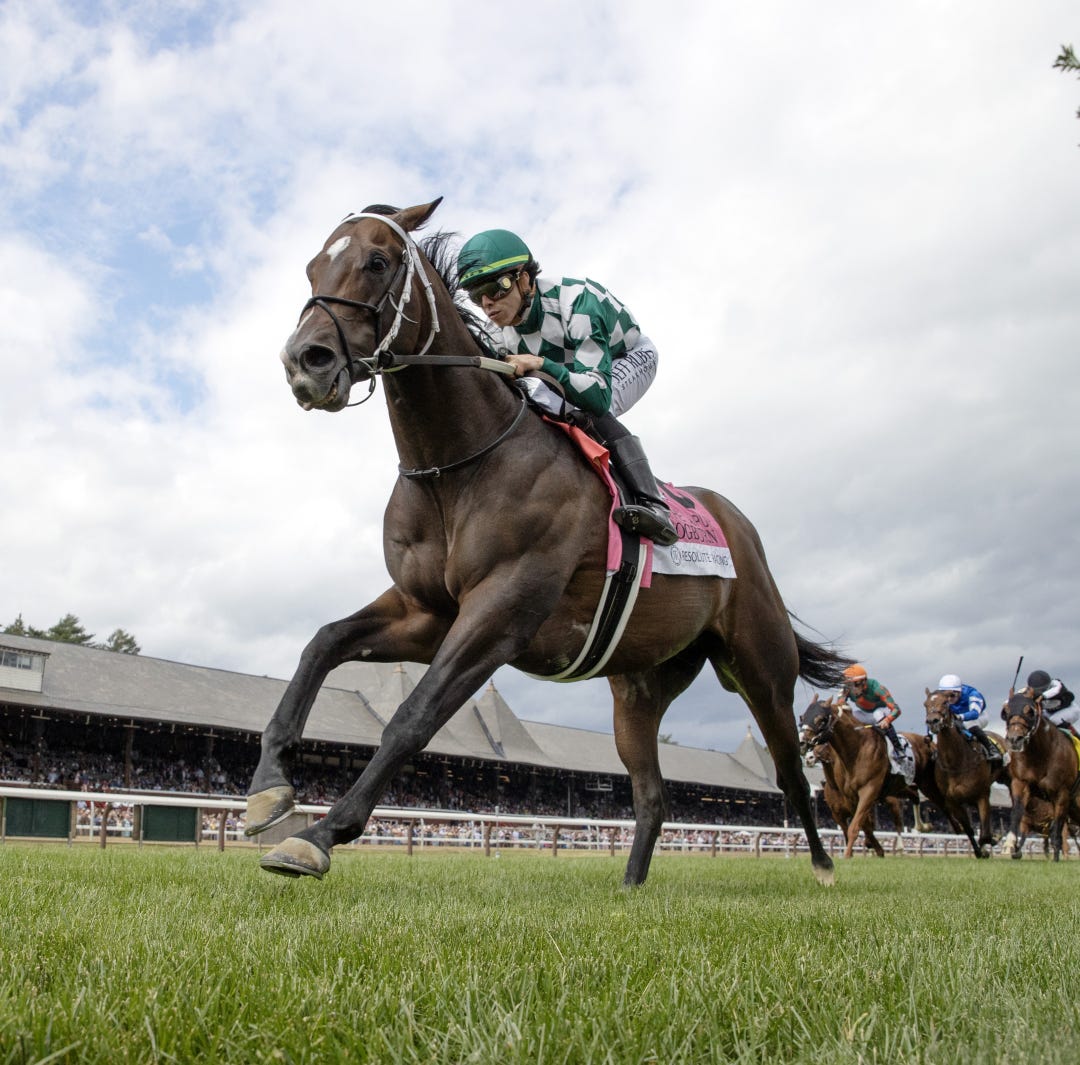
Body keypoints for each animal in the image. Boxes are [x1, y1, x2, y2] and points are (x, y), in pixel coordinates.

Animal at [243, 198, 850, 888]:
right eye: (313, 266)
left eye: (376, 261)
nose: (305, 362)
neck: (459, 465)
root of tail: (738, 525)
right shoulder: (426, 610)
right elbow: (322, 643)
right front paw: (269, 789)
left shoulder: (501, 612)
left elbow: (410, 719)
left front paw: (319, 835)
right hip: (639, 686)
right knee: (652, 793)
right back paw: (631, 886)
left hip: (761, 668)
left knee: (790, 772)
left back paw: (824, 868)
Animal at [798, 695, 932, 858]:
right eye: (802, 717)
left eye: (821, 719)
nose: (802, 744)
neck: (856, 751)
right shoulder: (845, 804)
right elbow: (863, 826)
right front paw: (873, 848)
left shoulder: (868, 790)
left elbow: (856, 826)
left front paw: (849, 855)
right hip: (900, 788)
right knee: (914, 796)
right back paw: (921, 826)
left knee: (899, 817)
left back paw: (904, 843)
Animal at [923, 689, 1010, 858]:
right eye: (926, 704)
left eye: (945, 702)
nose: (933, 721)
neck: (956, 761)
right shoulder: (952, 800)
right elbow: (969, 829)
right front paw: (980, 851)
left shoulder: (982, 795)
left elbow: (985, 833)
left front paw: (991, 841)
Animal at [999, 689, 1080, 861]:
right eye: (1005, 711)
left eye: (1030, 711)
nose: (1014, 739)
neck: (1041, 754)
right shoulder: (1021, 782)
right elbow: (1016, 813)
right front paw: (1009, 845)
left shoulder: (1062, 794)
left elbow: (1056, 832)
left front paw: (1056, 858)